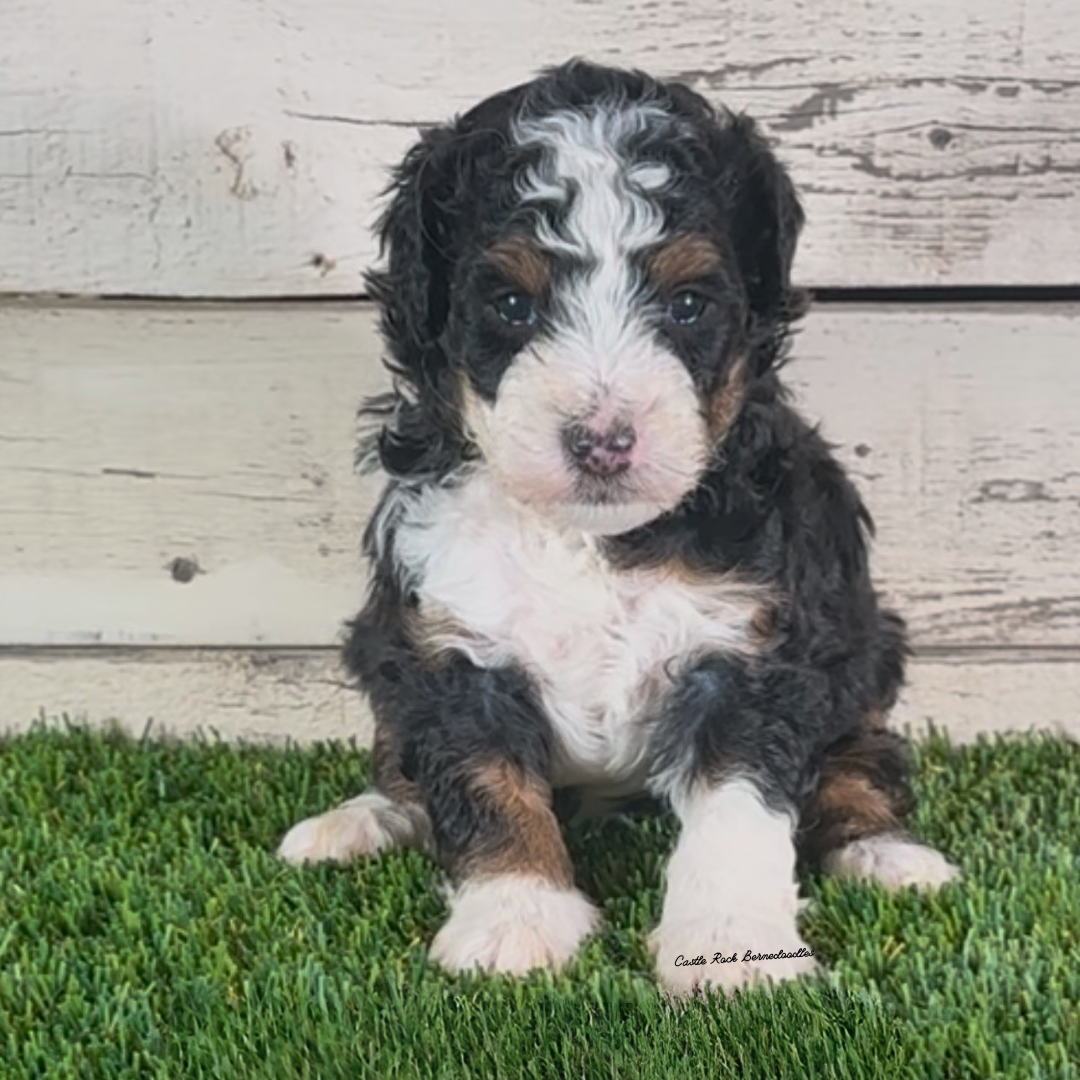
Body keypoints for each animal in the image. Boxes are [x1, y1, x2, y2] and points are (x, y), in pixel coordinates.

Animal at [274, 59, 959, 993]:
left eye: (688, 304)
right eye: (512, 304)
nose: (602, 440)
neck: (591, 539)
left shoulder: (753, 649)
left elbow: (736, 809)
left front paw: (730, 950)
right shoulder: (450, 641)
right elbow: (483, 782)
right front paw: (515, 918)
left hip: (863, 648)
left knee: (859, 756)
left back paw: (885, 853)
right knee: (397, 753)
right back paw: (358, 822)